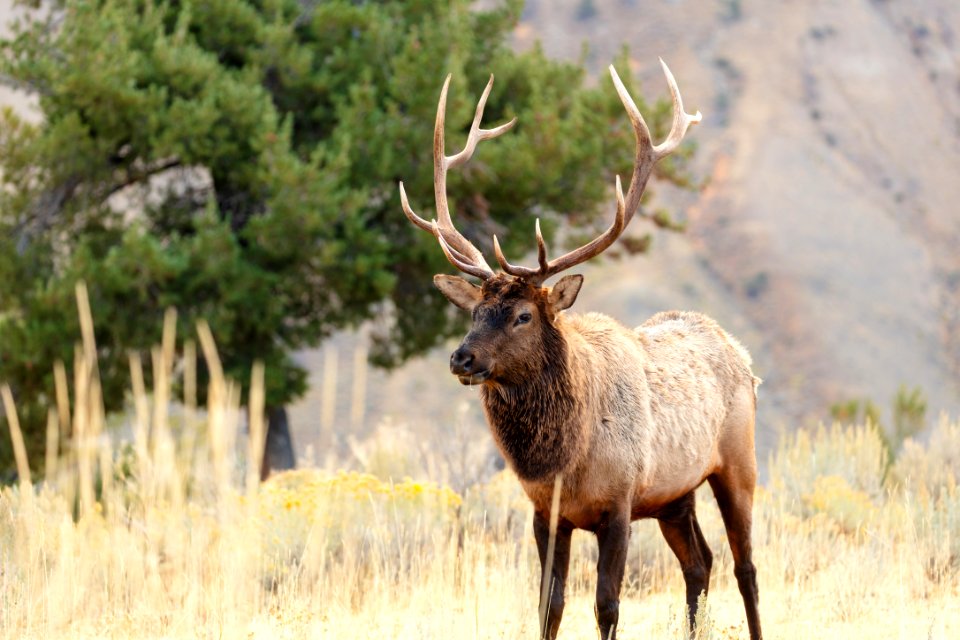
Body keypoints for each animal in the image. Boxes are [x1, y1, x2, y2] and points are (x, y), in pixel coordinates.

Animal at [398, 61, 764, 640]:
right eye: (474, 311)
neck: (564, 462)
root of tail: (741, 355)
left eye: (523, 315)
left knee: (745, 567)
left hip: (737, 463)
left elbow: (607, 606)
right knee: (700, 564)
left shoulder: (619, 503)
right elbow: (549, 605)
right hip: (674, 496)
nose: (461, 358)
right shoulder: (545, 514)